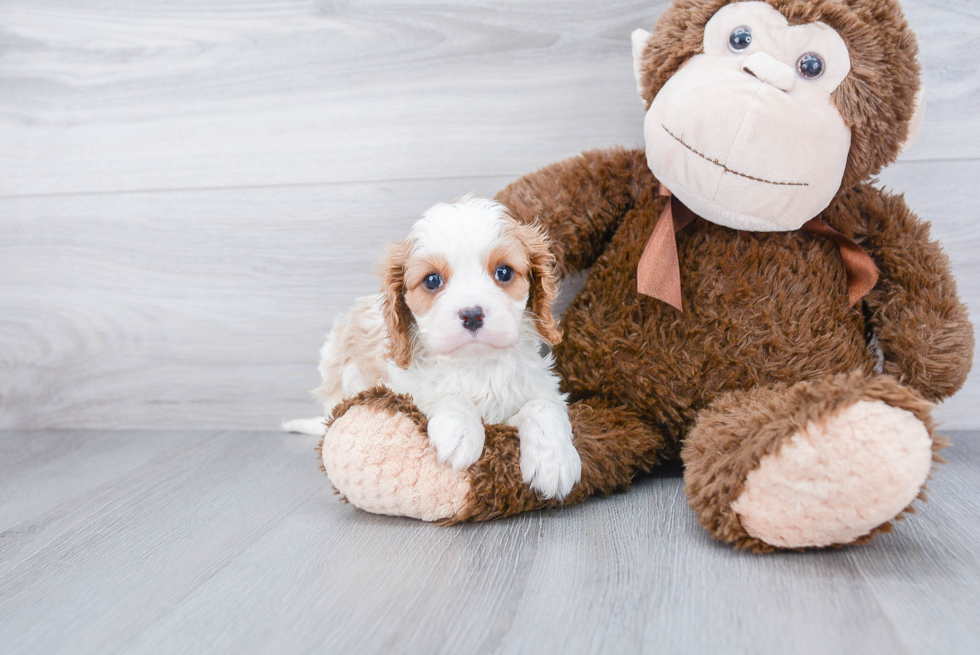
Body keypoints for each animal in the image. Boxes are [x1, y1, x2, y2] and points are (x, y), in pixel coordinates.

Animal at [290, 197, 580, 500]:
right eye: (432, 280)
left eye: (504, 272)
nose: (472, 314)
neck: (476, 363)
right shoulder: (405, 387)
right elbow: (447, 395)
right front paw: (461, 432)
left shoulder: (541, 385)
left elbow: (541, 405)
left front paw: (554, 462)